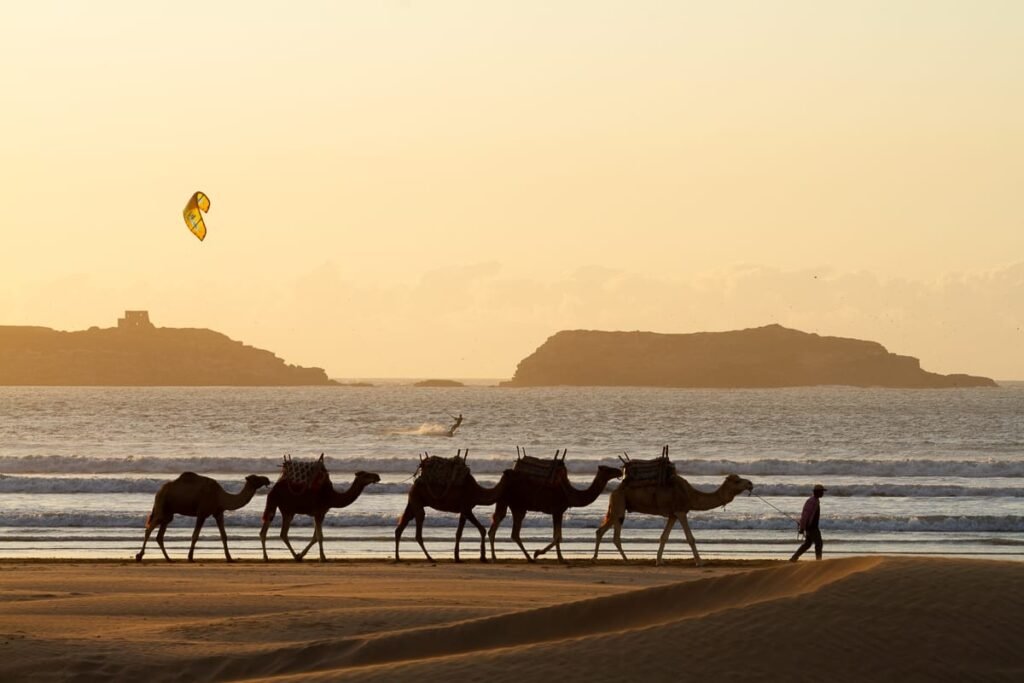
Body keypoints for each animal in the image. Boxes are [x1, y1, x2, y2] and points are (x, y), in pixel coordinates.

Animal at [134, 473, 270, 565]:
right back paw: (139, 556)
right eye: (256, 478)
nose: (267, 479)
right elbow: (195, 535)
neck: (220, 496)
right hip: (162, 507)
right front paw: (190, 557)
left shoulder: (218, 513)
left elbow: (224, 535)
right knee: (149, 529)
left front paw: (229, 558)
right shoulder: (202, 513)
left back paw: (169, 559)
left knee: (159, 535)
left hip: (168, 513)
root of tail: (159, 491)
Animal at [489, 448, 622, 561]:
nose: (620, 471)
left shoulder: (558, 512)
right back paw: (526, 557)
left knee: (501, 523)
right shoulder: (557, 511)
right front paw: (539, 553)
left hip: (508, 502)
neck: (570, 494)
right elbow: (557, 537)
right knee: (511, 530)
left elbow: (558, 536)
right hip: (516, 505)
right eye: (608, 469)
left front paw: (558, 557)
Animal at [593, 475, 753, 565]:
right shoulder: (680, 511)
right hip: (619, 505)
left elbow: (664, 537)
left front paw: (659, 561)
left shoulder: (673, 515)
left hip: (617, 507)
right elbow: (690, 538)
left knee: (602, 531)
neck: (690, 495)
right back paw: (622, 560)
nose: (750, 484)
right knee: (611, 533)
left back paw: (601, 558)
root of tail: (614, 491)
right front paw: (700, 562)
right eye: (738, 481)